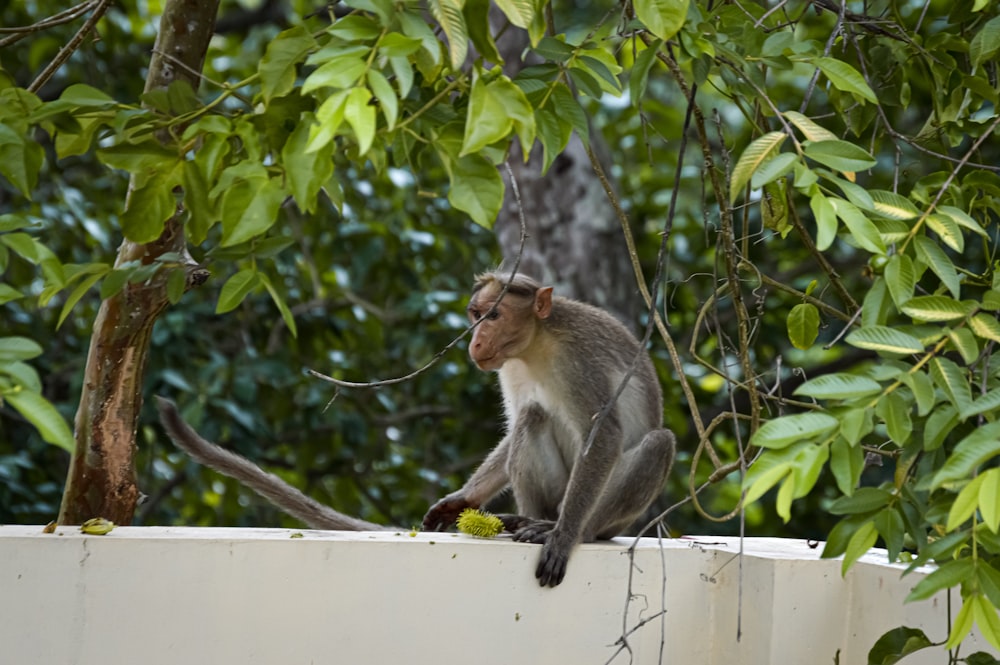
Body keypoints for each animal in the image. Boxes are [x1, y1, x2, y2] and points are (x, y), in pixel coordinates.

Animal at [418, 270, 676, 588]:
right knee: (532, 414)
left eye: (494, 315)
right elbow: (515, 424)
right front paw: (461, 499)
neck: (535, 344)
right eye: (477, 315)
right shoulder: (510, 367)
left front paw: (564, 537)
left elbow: (604, 436)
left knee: (659, 442)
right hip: (556, 494)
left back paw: (573, 530)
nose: (475, 342)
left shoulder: (577, 361)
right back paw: (526, 520)